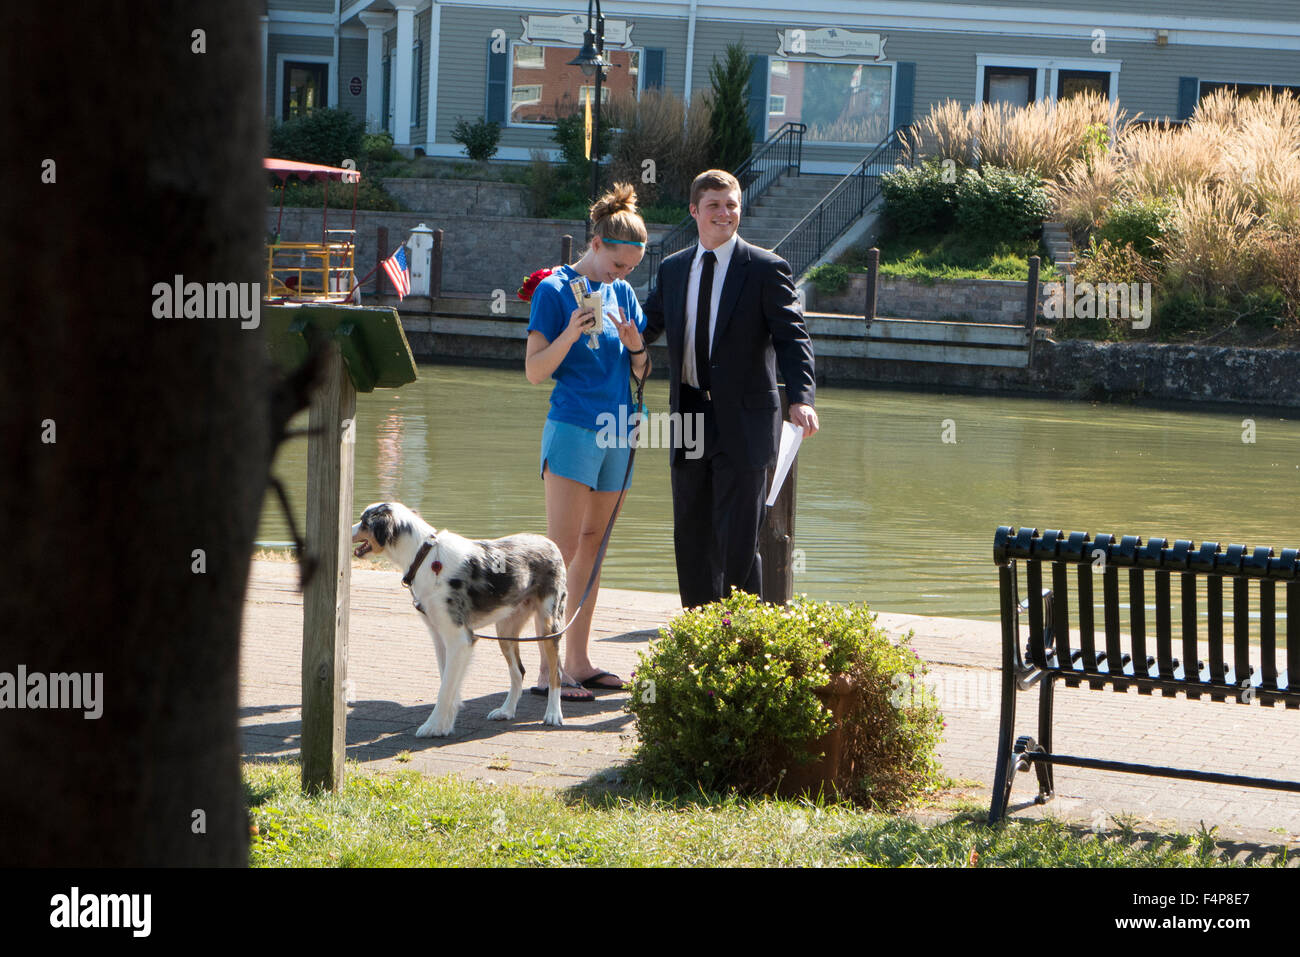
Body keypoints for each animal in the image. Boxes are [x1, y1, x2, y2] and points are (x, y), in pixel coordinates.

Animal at [351, 504, 569, 738]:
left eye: (364, 522)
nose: (348, 529)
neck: (423, 556)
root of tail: (548, 542)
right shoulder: (440, 636)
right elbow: (448, 684)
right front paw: (445, 725)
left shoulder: (459, 638)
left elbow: (445, 689)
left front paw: (432, 726)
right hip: (505, 630)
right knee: (518, 672)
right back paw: (506, 711)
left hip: (549, 625)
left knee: (556, 672)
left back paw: (553, 714)